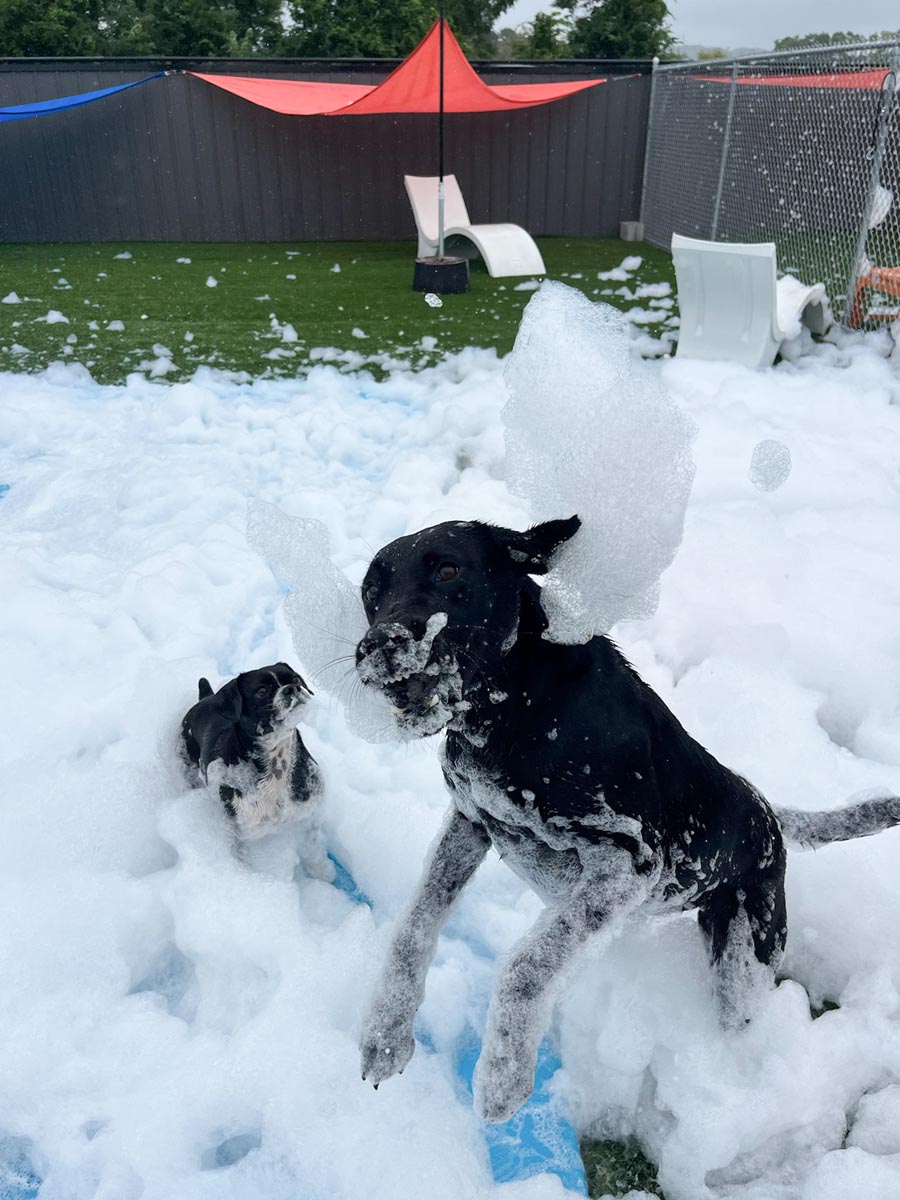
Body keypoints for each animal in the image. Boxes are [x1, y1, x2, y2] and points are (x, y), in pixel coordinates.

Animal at [180, 663, 331, 877]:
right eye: (261, 691)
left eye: (295, 679)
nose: (292, 688)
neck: (277, 767)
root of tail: (205, 697)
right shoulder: (242, 833)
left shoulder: (307, 813)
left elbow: (314, 850)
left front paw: (323, 876)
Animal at [354, 517, 900, 1123]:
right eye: (370, 593)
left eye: (449, 569)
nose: (373, 648)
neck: (513, 710)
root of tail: (769, 816)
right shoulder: (470, 823)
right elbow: (413, 930)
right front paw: (385, 1036)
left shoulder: (631, 862)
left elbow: (525, 969)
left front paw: (503, 1076)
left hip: (743, 967)